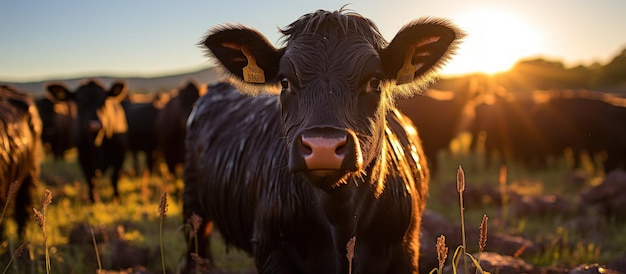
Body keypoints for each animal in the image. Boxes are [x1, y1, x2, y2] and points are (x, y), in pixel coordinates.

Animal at [180, 8, 458, 274]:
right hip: (193, 205)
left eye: (375, 81)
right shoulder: (271, 250)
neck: (340, 221)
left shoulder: (405, 251)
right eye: (284, 81)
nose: (323, 147)